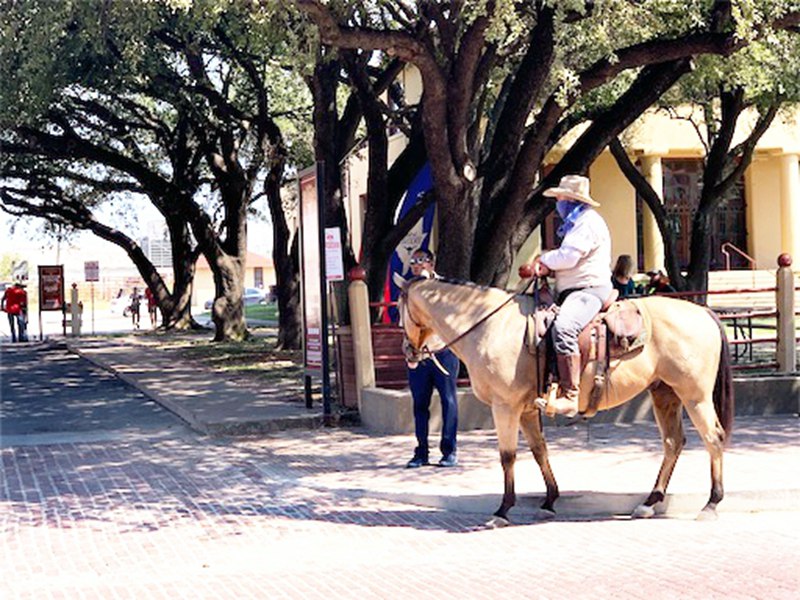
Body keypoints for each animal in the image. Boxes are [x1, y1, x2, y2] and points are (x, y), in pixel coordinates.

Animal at [396, 274, 736, 528]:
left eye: (399, 310)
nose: (408, 352)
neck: (489, 325)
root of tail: (704, 312)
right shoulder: (526, 410)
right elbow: (539, 450)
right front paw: (549, 500)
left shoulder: (504, 406)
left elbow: (508, 456)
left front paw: (502, 510)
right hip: (664, 393)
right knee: (673, 442)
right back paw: (650, 502)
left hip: (695, 396)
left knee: (712, 438)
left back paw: (711, 503)